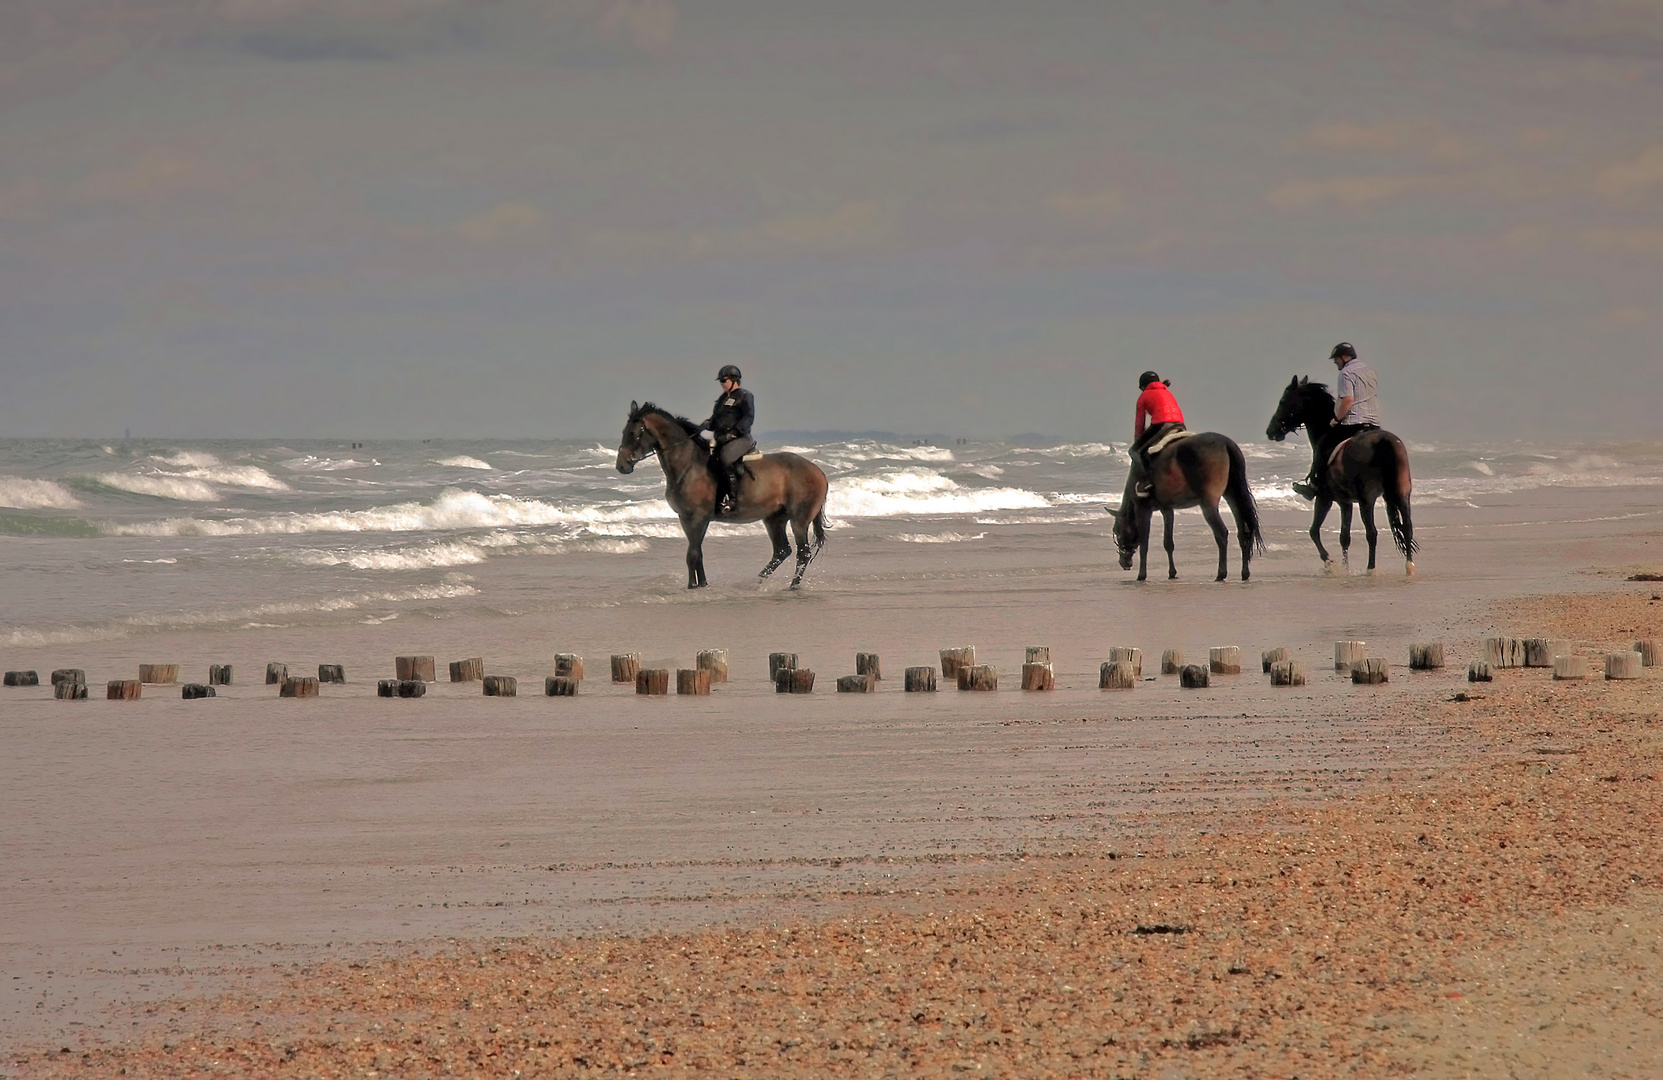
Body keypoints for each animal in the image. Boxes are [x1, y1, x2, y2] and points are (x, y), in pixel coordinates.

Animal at [615, 399, 828, 589]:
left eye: (633, 433)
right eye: (624, 432)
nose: (621, 466)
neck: (688, 466)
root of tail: (818, 471)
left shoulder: (699, 518)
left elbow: (693, 554)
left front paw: (695, 586)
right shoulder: (686, 518)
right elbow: (695, 553)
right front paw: (699, 584)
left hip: (799, 520)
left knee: (803, 553)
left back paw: (792, 586)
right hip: (774, 519)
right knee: (782, 551)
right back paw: (754, 584)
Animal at [1104, 429, 1257, 582]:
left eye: (1116, 531)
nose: (1124, 563)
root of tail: (1226, 443)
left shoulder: (1143, 508)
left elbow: (1144, 544)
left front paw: (1142, 575)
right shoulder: (1166, 509)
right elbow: (1168, 542)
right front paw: (1172, 573)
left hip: (1208, 504)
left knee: (1221, 533)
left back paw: (1221, 573)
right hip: (1233, 495)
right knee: (1244, 531)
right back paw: (1245, 573)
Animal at [1270, 374, 1416, 572]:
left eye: (1283, 401)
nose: (1270, 431)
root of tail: (1385, 442)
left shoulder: (1328, 498)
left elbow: (1316, 532)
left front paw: (1331, 563)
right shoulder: (1346, 502)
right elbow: (1344, 537)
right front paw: (1345, 568)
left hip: (1366, 499)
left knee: (1372, 532)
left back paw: (1371, 569)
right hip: (1401, 493)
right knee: (1407, 527)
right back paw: (1409, 566)